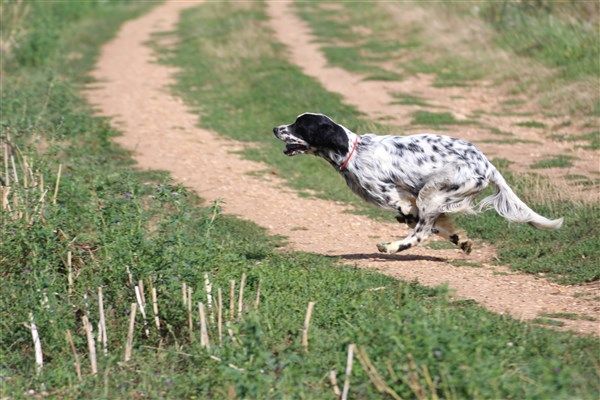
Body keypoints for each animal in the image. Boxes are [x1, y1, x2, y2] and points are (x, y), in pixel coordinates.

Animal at [272, 112, 564, 253]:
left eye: (299, 125)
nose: (275, 128)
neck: (352, 152)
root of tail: (487, 164)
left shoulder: (398, 196)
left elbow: (413, 216)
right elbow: (439, 225)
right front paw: (460, 239)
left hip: (432, 191)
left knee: (420, 233)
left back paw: (391, 247)